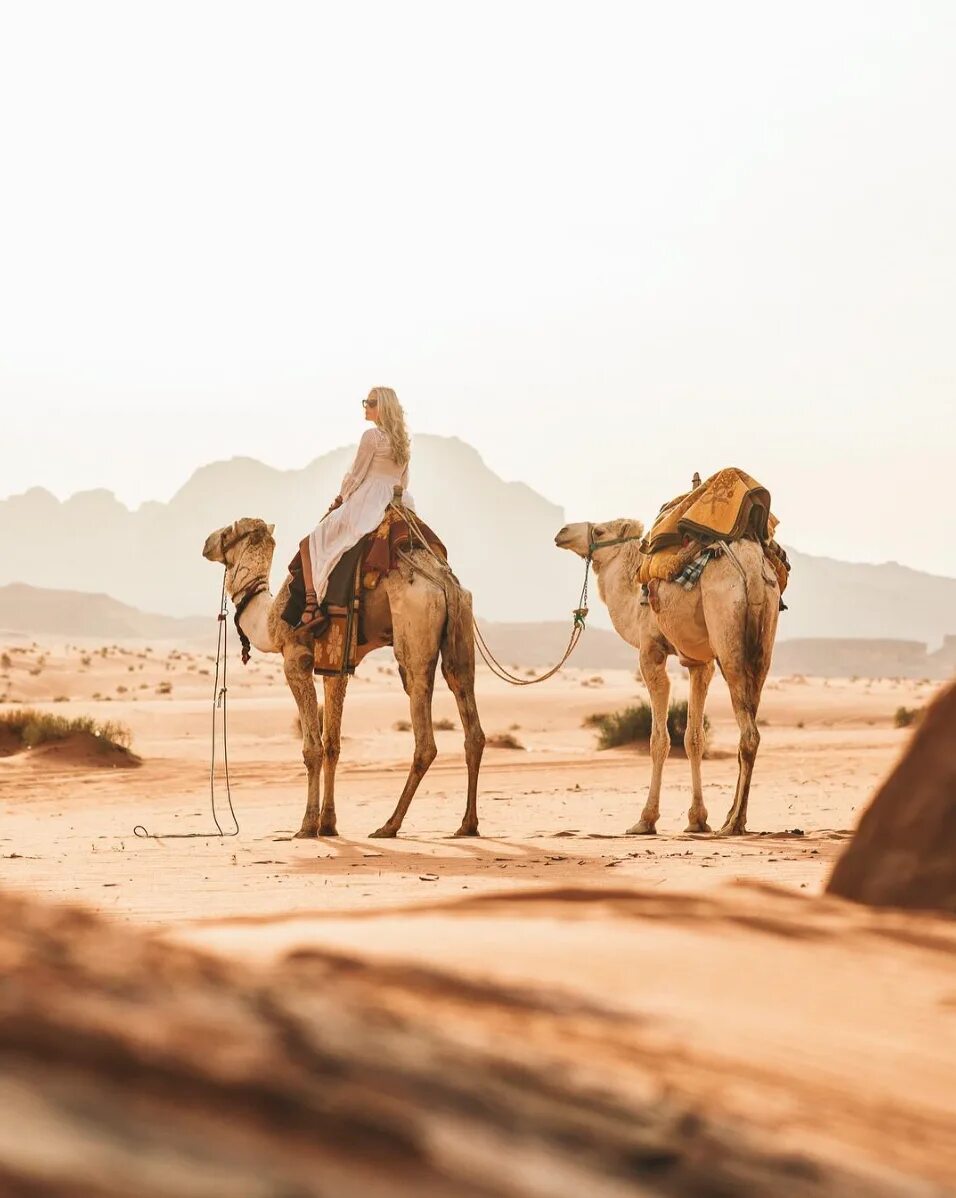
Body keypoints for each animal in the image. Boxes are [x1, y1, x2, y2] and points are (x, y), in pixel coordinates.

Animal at [202, 519, 486, 838]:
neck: (270, 619)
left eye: (228, 532)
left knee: (424, 732)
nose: (206, 543)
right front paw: (328, 824)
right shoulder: (335, 667)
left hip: (415, 630)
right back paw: (467, 824)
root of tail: (444, 581)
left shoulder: (295, 659)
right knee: (468, 712)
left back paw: (389, 825)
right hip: (461, 629)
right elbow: (332, 745)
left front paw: (307, 825)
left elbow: (312, 748)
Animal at [553, 519, 776, 838]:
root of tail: (754, 568)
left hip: (728, 638)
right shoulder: (699, 663)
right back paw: (733, 818)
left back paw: (734, 823)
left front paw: (646, 820)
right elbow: (694, 737)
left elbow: (659, 739)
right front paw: (697, 819)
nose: (562, 532)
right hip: (762, 647)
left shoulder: (651, 652)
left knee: (749, 735)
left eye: (600, 531)